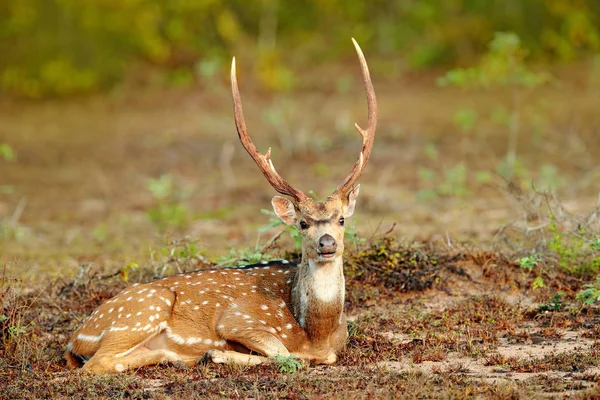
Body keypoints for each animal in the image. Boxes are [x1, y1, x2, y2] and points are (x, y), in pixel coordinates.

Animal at [64, 39, 376, 374]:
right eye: (302, 223)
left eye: (342, 220)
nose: (327, 243)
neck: (316, 333)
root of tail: (75, 338)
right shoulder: (238, 319)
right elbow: (287, 353)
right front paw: (219, 353)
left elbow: (316, 356)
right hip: (141, 313)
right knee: (97, 363)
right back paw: (187, 355)